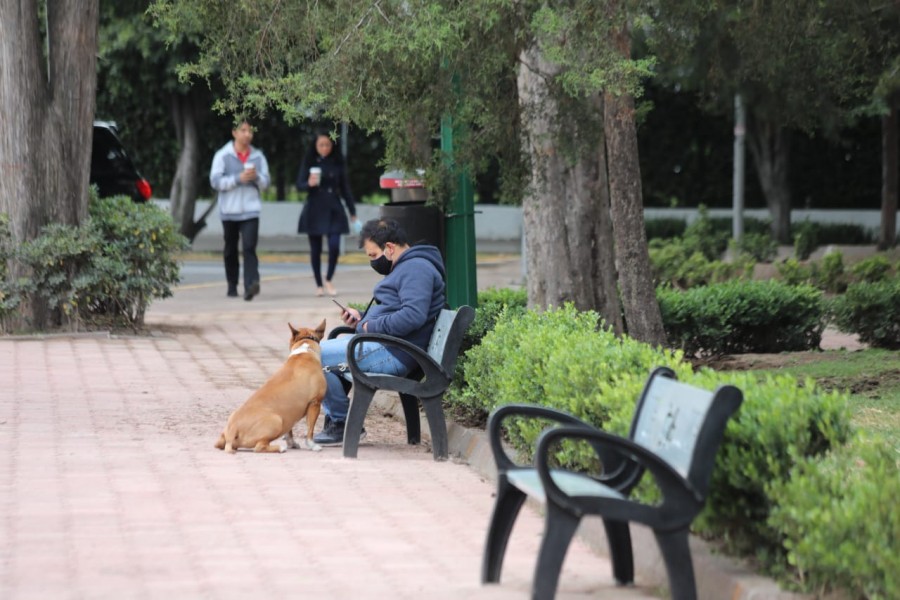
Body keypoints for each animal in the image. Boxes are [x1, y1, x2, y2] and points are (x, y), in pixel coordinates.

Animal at [214, 322, 326, 452]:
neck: (305, 350)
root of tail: (232, 430)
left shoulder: (289, 413)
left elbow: (289, 432)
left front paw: (292, 443)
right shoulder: (315, 403)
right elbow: (310, 430)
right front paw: (313, 445)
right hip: (277, 421)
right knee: (259, 447)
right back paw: (280, 448)